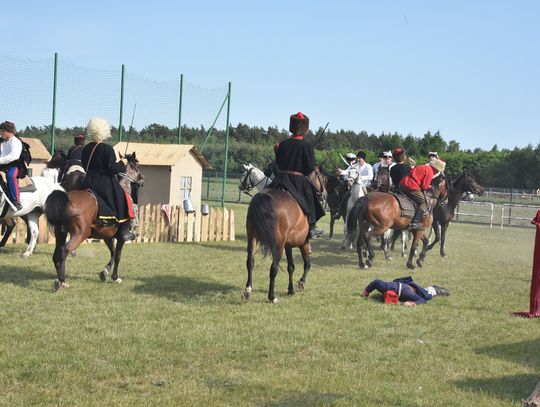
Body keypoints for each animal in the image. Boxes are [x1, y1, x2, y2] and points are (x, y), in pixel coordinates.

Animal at [44, 153, 144, 290]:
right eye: (137, 166)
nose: (142, 179)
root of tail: (66, 199)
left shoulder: (107, 237)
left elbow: (113, 253)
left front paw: (104, 273)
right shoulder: (121, 237)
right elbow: (118, 255)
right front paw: (115, 277)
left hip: (61, 233)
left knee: (56, 255)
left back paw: (61, 280)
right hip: (80, 234)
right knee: (64, 251)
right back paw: (60, 282)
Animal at [243, 166, 326, 302]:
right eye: (323, 178)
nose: (324, 195)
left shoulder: (288, 245)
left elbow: (291, 267)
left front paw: (291, 290)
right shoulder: (304, 243)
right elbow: (307, 264)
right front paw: (301, 283)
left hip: (252, 238)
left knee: (250, 262)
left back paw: (248, 291)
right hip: (278, 245)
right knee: (273, 268)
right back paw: (272, 297)